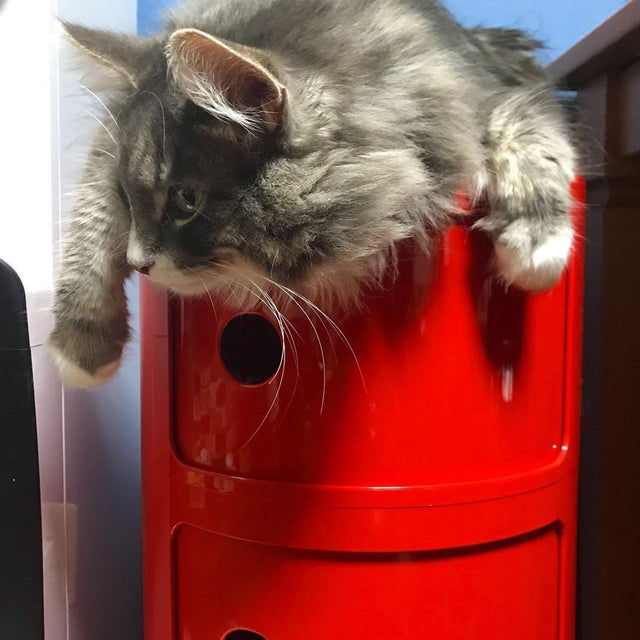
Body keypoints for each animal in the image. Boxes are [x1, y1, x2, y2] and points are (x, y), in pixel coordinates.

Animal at [52, 0, 576, 388]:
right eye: (127, 196)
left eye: (186, 200)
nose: (139, 263)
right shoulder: (103, 153)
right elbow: (87, 227)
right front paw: (80, 349)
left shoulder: (488, 96)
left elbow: (530, 128)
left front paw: (537, 243)